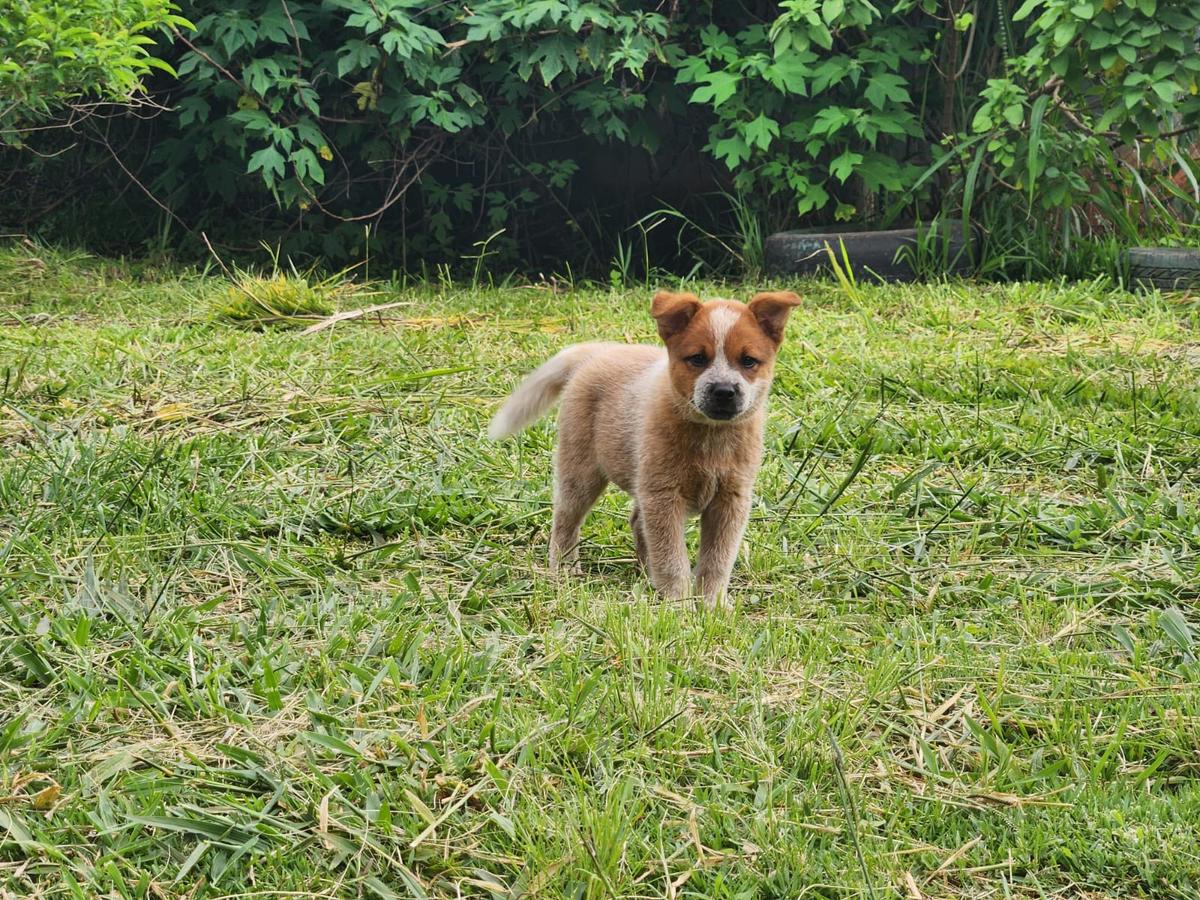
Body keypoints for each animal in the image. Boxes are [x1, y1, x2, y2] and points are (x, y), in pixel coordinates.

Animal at [487, 292, 796, 609]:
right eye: (697, 358)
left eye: (748, 361)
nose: (724, 391)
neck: (711, 438)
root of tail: (600, 352)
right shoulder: (663, 496)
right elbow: (671, 559)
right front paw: (679, 605)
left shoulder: (730, 500)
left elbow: (717, 561)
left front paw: (713, 605)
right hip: (581, 471)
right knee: (566, 518)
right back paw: (564, 569)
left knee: (636, 521)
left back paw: (647, 575)